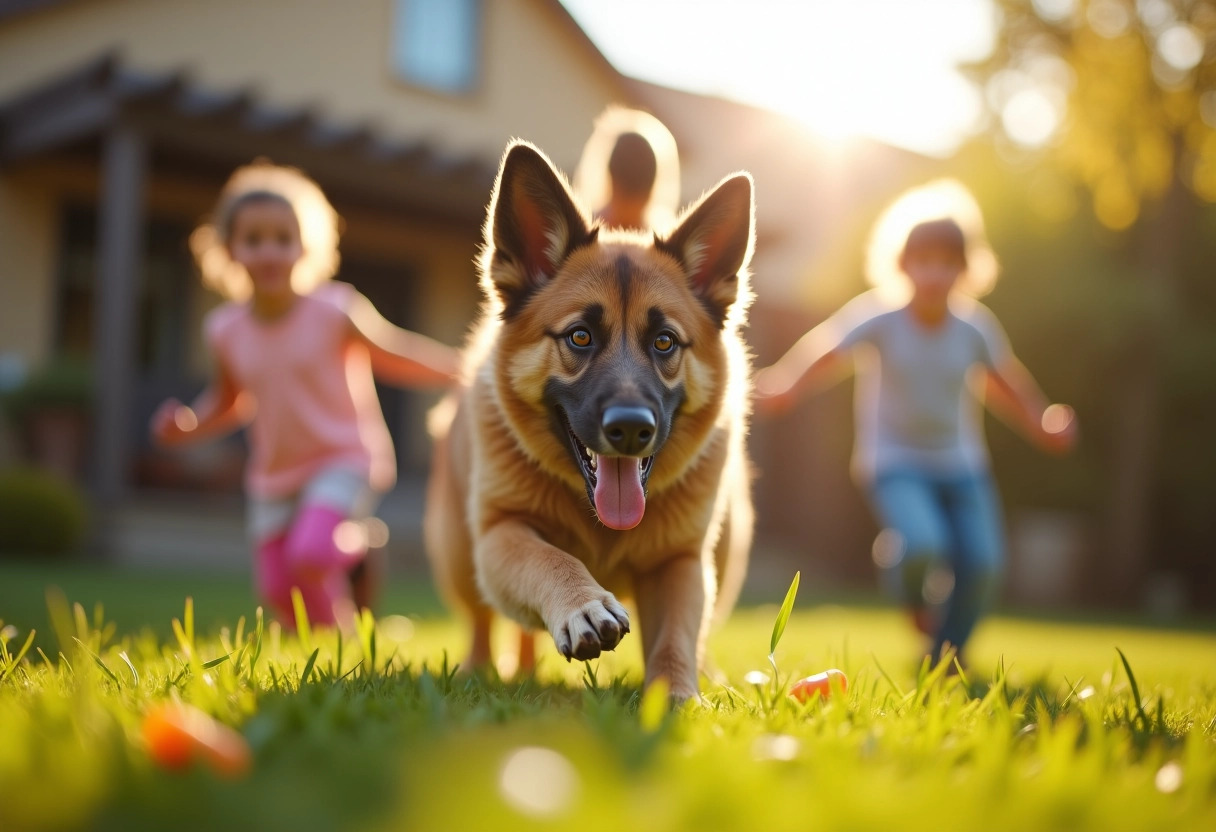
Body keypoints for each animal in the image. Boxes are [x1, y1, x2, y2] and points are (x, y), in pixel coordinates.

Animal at [423, 139, 753, 700]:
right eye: (580, 336)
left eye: (664, 342)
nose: (631, 429)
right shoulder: (501, 533)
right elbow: (549, 558)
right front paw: (582, 605)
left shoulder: (679, 564)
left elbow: (677, 635)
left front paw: (677, 697)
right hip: (459, 556)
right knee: (482, 621)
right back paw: (480, 670)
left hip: (725, 553)